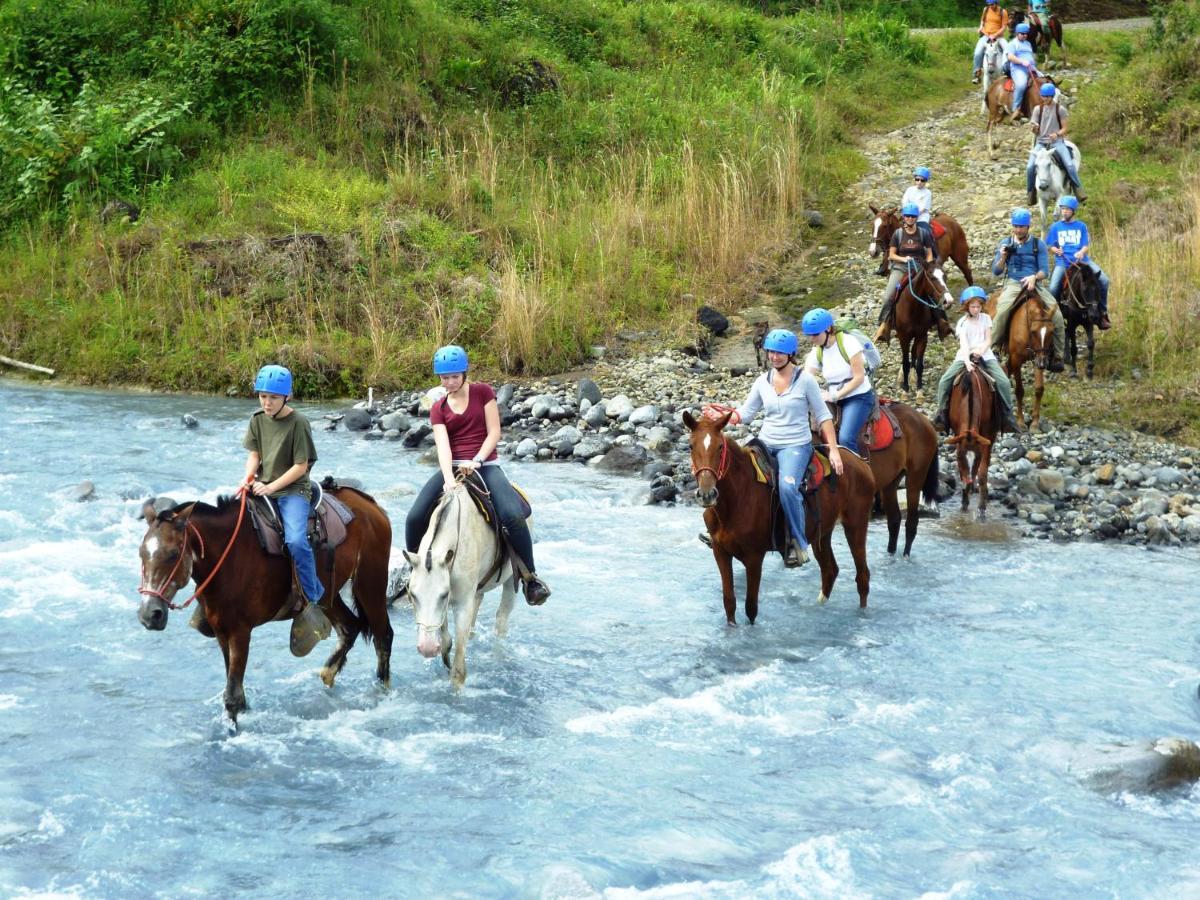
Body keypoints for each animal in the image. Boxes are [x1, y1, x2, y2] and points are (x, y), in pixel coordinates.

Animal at [138, 487, 393, 734]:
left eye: (173, 554)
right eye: (141, 553)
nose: (150, 615)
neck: (227, 558)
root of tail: (371, 505)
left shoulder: (240, 632)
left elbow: (232, 695)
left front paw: (232, 733)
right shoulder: (221, 630)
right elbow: (236, 689)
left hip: (370, 582)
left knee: (383, 635)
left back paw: (382, 691)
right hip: (327, 595)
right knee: (350, 627)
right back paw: (328, 675)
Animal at [403, 487, 516, 691]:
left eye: (444, 595)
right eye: (412, 595)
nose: (427, 648)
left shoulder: (461, 603)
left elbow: (458, 670)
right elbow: (446, 640)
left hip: (511, 580)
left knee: (502, 619)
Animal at [686, 412, 873, 624]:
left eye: (719, 447)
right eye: (691, 446)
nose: (707, 494)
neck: (737, 496)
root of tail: (861, 462)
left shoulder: (754, 557)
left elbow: (751, 608)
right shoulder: (720, 552)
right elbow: (729, 603)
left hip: (856, 524)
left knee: (862, 576)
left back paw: (862, 615)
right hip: (822, 533)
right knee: (829, 571)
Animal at [940, 367, 998, 518]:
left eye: (977, 459)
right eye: (959, 457)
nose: (970, 482)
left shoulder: (986, 437)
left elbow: (983, 473)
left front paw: (981, 507)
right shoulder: (957, 433)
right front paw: (964, 501)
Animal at [988, 286, 1056, 432]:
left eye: (1052, 332)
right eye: (1033, 332)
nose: (1043, 363)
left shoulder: (1037, 357)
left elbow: (1039, 388)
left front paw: (1035, 423)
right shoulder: (1016, 360)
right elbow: (1019, 390)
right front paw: (1020, 422)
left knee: (1006, 370)